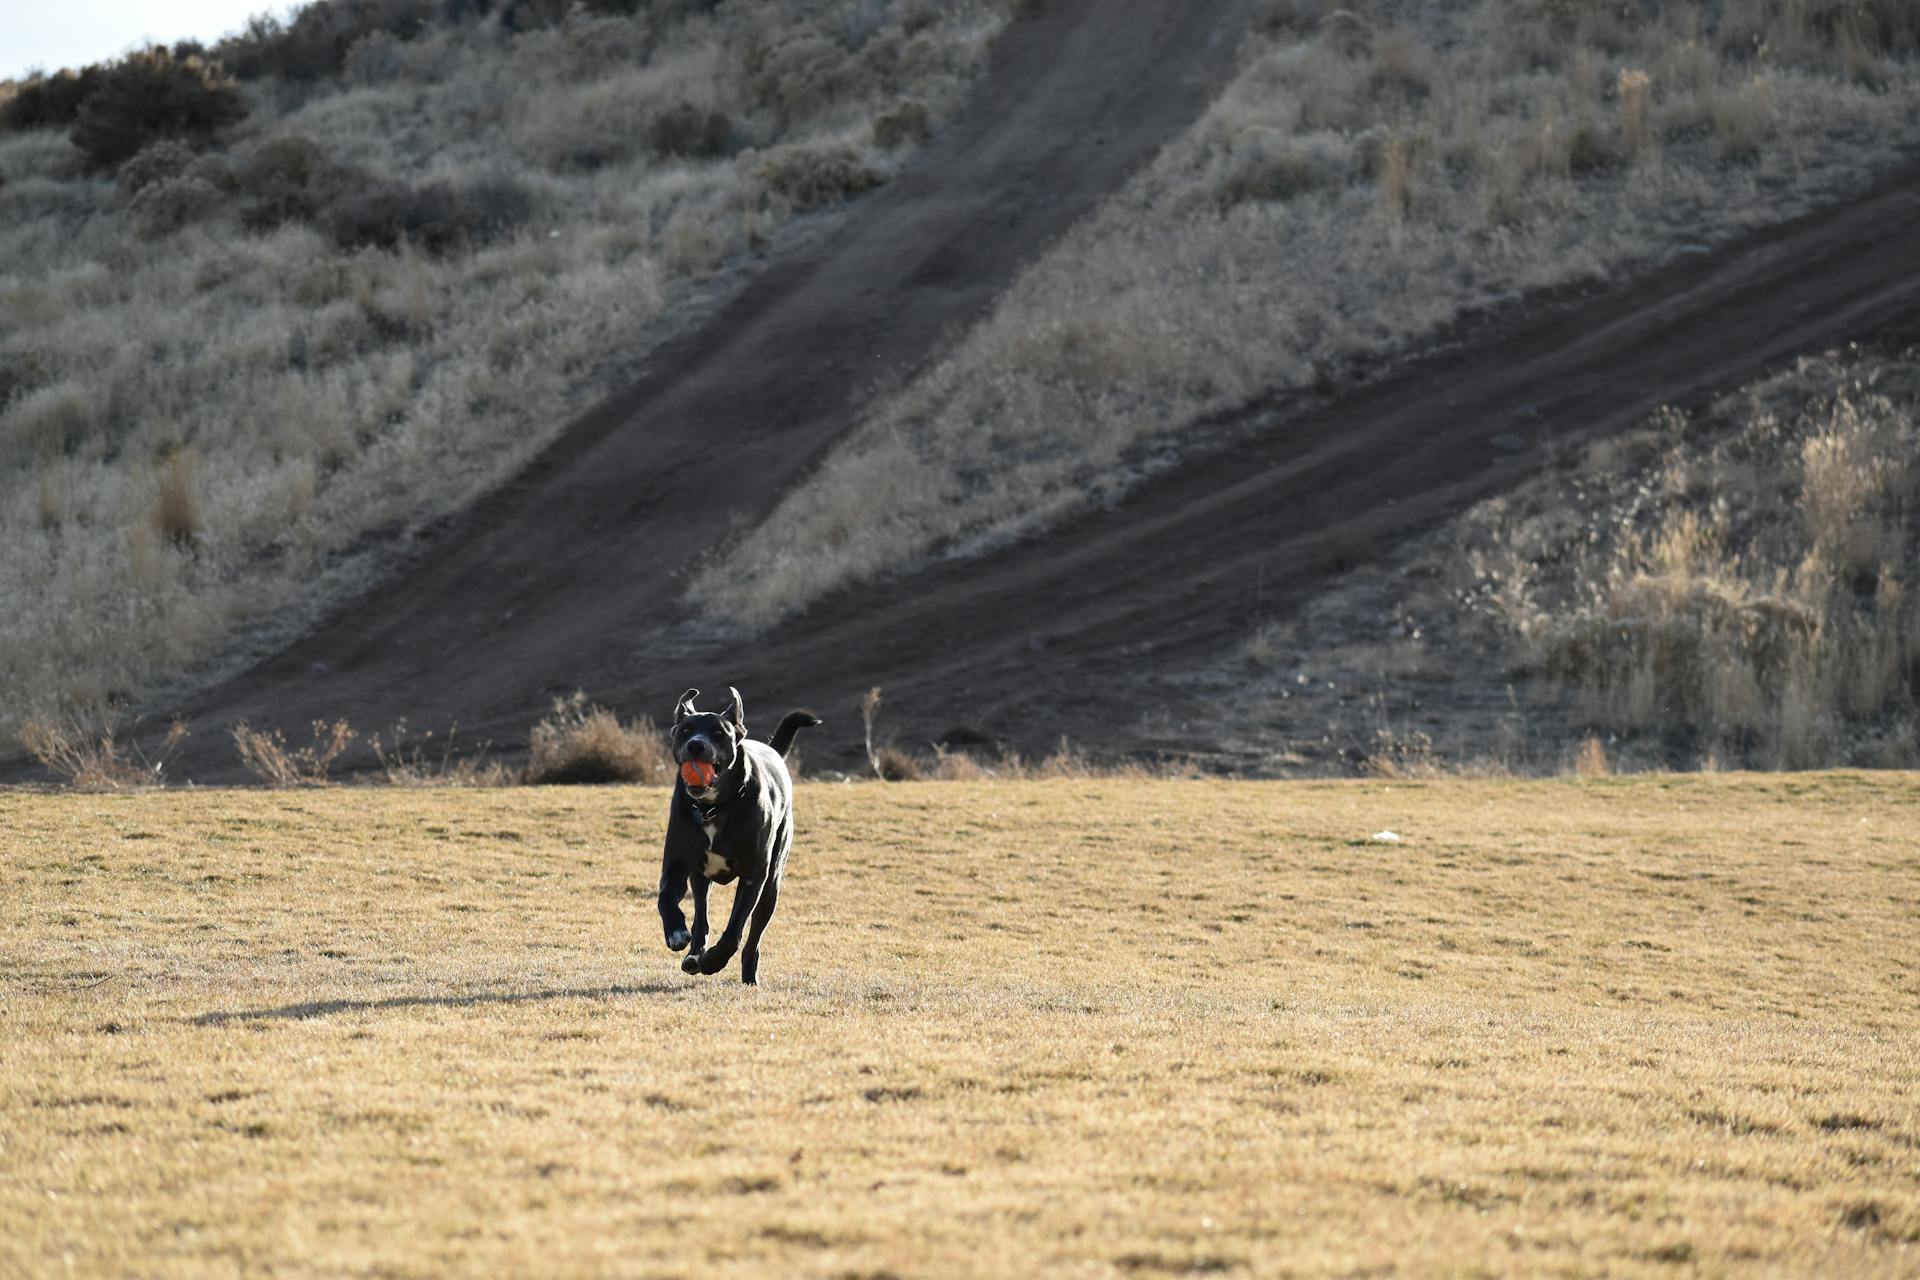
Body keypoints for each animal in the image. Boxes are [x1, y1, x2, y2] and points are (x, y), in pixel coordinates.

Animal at [660, 687, 817, 990]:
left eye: (719, 732)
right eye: (685, 731)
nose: (696, 745)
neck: (713, 808)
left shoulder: (754, 876)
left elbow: (735, 930)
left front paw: (714, 961)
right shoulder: (677, 862)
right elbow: (665, 898)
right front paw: (676, 932)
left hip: (772, 885)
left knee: (753, 937)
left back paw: (746, 975)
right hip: (700, 879)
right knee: (702, 915)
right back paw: (694, 954)